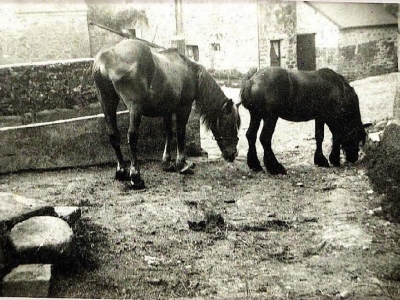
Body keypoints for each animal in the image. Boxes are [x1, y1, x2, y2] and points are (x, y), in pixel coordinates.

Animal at [93, 39, 241, 190]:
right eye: (230, 123)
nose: (233, 154)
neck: (190, 71)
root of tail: (107, 56)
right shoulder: (184, 107)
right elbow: (180, 133)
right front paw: (182, 164)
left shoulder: (167, 110)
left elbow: (169, 132)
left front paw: (167, 162)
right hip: (135, 108)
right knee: (132, 137)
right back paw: (136, 177)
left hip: (107, 102)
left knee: (113, 134)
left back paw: (121, 171)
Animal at [239, 67, 368, 175]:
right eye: (356, 138)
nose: (353, 158)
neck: (339, 89)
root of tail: (252, 81)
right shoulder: (331, 118)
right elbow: (336, 136)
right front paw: (334, 159)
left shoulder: (320, 118)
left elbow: (319, 136)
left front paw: (320, 160)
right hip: (270, 117)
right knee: (265, 138)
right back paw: (275, 167)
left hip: (256, 116)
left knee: (251, 135)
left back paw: (255, 165)